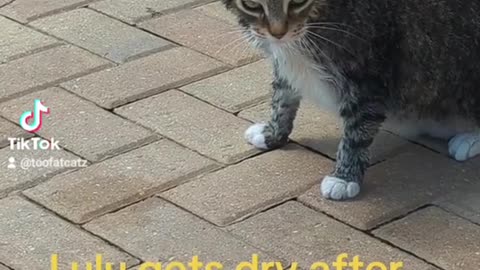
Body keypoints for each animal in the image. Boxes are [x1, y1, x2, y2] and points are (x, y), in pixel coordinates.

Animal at [221, 0, 480, 200]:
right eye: (252, 5)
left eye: (297, 2)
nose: (278, 32)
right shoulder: (285, 63)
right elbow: (282, 97)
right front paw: (273, 133)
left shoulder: (368, 76)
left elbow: (357, 130)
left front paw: (344, 177)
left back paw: (469, 139)